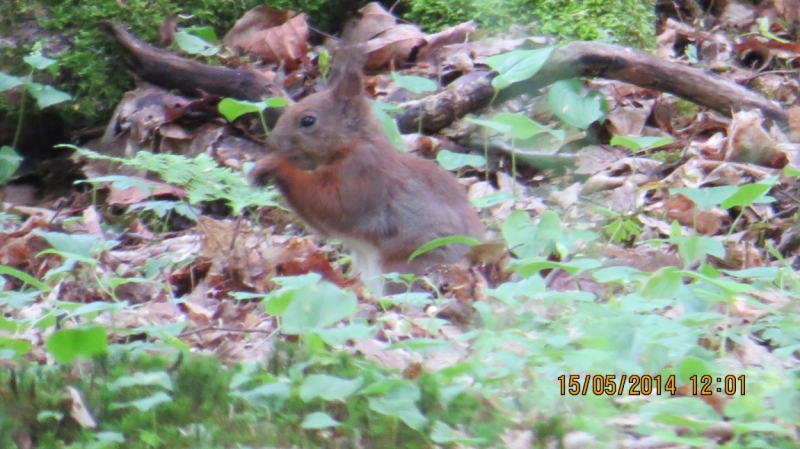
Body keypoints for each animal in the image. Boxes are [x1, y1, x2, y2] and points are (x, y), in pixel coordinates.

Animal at [253, 45, 484, 294]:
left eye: (308, 121)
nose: (272, 143)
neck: (355, 143)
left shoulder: (362, 175)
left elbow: (331, 204)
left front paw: (274, 165)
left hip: (406, 268)